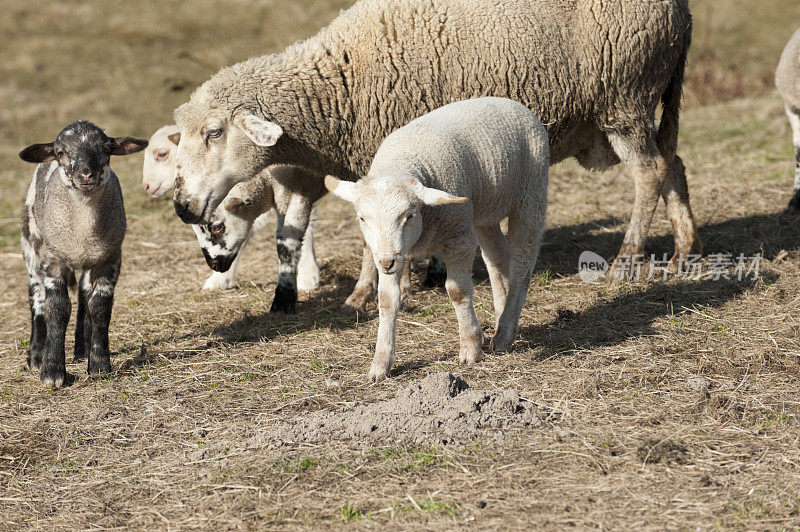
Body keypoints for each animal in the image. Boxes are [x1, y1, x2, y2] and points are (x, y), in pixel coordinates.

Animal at [19, 119, 147, 386]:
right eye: (60, 152)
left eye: (105, 149)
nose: (85, 174)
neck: (84, 230)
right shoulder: (53, 260)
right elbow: (57, 308)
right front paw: (52, 371)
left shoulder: (109, 258)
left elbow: (99, 307)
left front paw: (99, 364)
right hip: (30, 245)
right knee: (37, 298)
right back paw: (36, 355)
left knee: (83, 294)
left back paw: (81, 349)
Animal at [326, 98, 552, 382]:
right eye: (362, 218)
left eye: (410, 215)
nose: (386, 263)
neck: (401, 162)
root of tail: (510, 102)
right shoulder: (394, 250)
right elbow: (386, 301)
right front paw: (380, 364)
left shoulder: (459, 236)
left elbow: (457, 291)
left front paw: (470, 347)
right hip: (483, 210)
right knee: (497, 257)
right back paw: (502, 321)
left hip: (530, 195)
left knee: (523, 260)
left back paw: (504, 332)